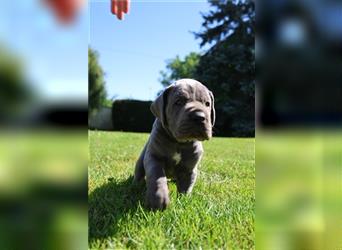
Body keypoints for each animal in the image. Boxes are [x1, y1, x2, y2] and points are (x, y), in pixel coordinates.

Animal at [133, 79, 215, 210]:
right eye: (178, 102)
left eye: (207, 104)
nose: (199, 117)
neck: (179, 142)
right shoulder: (154, 157)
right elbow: (156, 176)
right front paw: (159, 199)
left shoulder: (189, 168)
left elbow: (186, 187)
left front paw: (183, 201)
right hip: (141, 161)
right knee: (139, 174)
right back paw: (135, 186)